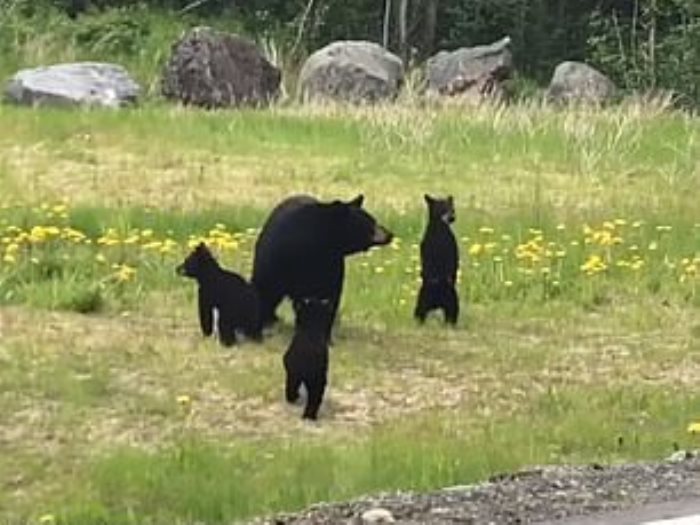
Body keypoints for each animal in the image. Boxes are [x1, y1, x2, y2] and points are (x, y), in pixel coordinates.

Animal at [416, 192, 460, 324]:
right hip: (422, 299)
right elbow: (427, 262)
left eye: (452, 208)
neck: (440, 230)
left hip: (453, 300)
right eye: (442, 208)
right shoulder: (426, 247)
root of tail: (437, 305)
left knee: (452, 314)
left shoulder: (451, 247)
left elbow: (453, 263)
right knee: (419, 312)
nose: (452, 217)